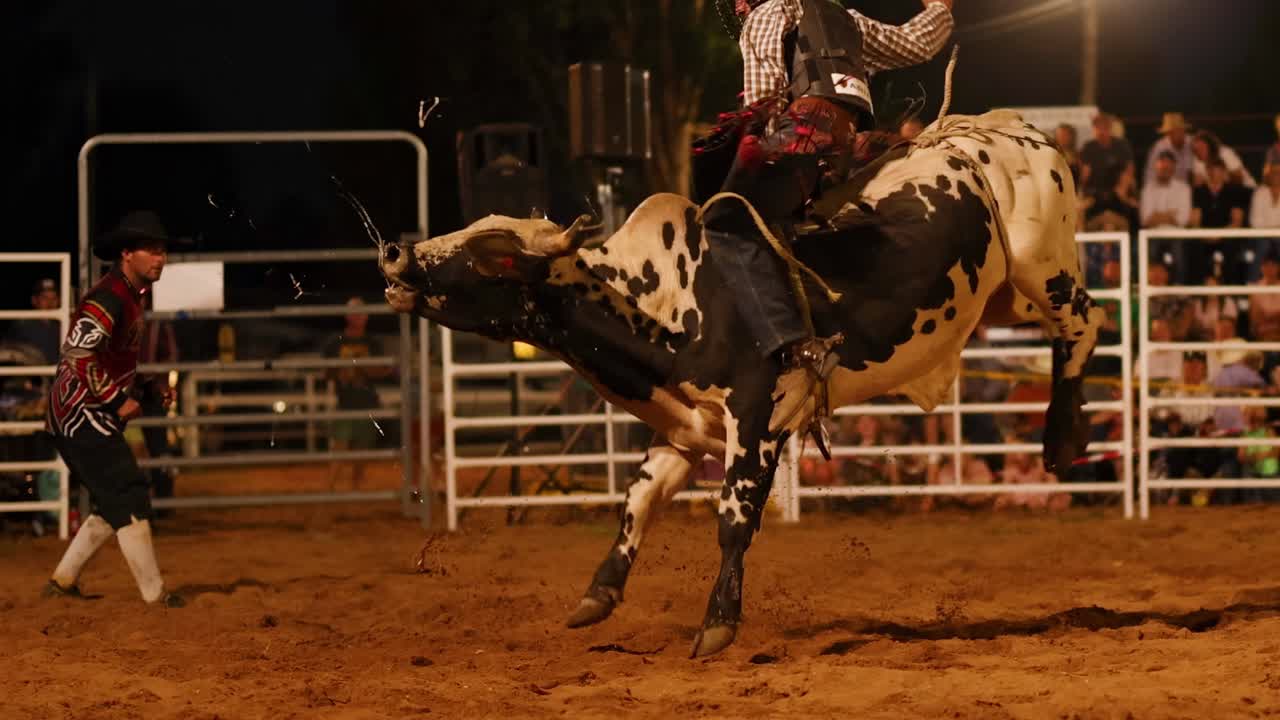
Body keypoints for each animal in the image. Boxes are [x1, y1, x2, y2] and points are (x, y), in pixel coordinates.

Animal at [380, 111, 1100, 657]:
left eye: (487, 256)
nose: (396, 254)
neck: (668, 298)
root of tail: (1005, 130)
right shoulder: (682, 429)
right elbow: (637, 501)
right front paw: (597, 596)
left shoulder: (758, 416)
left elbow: (732, 519)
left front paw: (717, 626)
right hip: (1005, 298)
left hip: (1044, 266)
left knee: (1086, 321)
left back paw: (1064, 438)